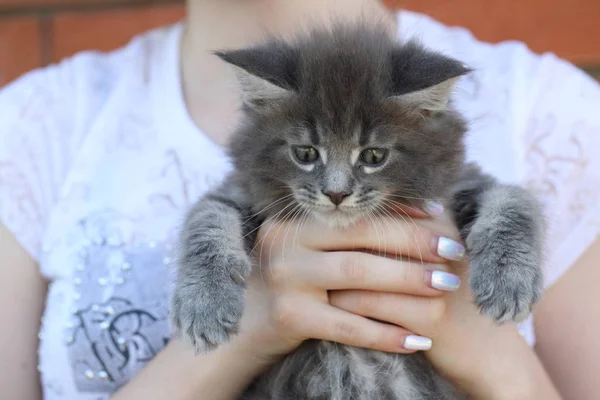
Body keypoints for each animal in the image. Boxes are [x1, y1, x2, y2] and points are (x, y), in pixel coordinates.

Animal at [170, 22, 544, 400]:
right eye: (305, 153)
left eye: (374, 156)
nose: (336, 193)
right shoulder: (239, 191)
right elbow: (207, 222)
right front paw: (205, 305)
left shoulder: (460, 184)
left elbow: (514, 202)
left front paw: (508, 280)